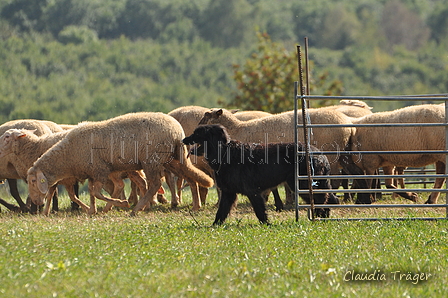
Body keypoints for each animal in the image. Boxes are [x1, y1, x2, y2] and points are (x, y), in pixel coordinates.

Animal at [25, 113, 214, 215]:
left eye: (33, 181)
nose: (35, 202)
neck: (68, 156)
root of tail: (177, 131)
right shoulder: (93, 173)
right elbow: (93, 193)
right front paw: (95, 210)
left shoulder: (100, 170)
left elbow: (96, 192)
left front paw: (120, 203)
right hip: (172, 158)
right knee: (190, 176)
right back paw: (196, 205)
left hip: (151, 160)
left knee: (154, 184)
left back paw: (136, 208)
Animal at [180, 123, 338, 224]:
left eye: (198, 133)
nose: (183, 139)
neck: (225, 153)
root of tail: (321, 155)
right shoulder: (228, 192)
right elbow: (221, 212)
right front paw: (214, 226)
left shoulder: (252, 192)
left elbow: (259, 211)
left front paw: (267, 225)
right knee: (329, 198)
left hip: (302, 184)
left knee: (321, 199)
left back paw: (319, 217)